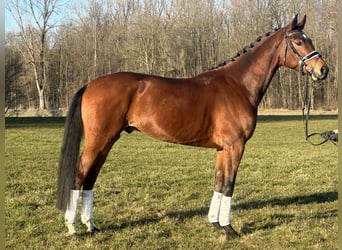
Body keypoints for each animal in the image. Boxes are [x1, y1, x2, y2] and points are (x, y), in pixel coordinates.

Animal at [56, 15, 328, 238]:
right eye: (299, 41)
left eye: (308, 39)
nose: (322, 70)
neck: (238, 85)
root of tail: (90, 84)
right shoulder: (235, 146)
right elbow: (229, 184)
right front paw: (229, 229)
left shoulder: (223, 149)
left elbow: (219, 182)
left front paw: (216, 224)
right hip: (98, 141)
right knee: (80, 175)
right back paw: (73, 228)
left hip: (106, 142)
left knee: (90, 178)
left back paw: (91, 225)